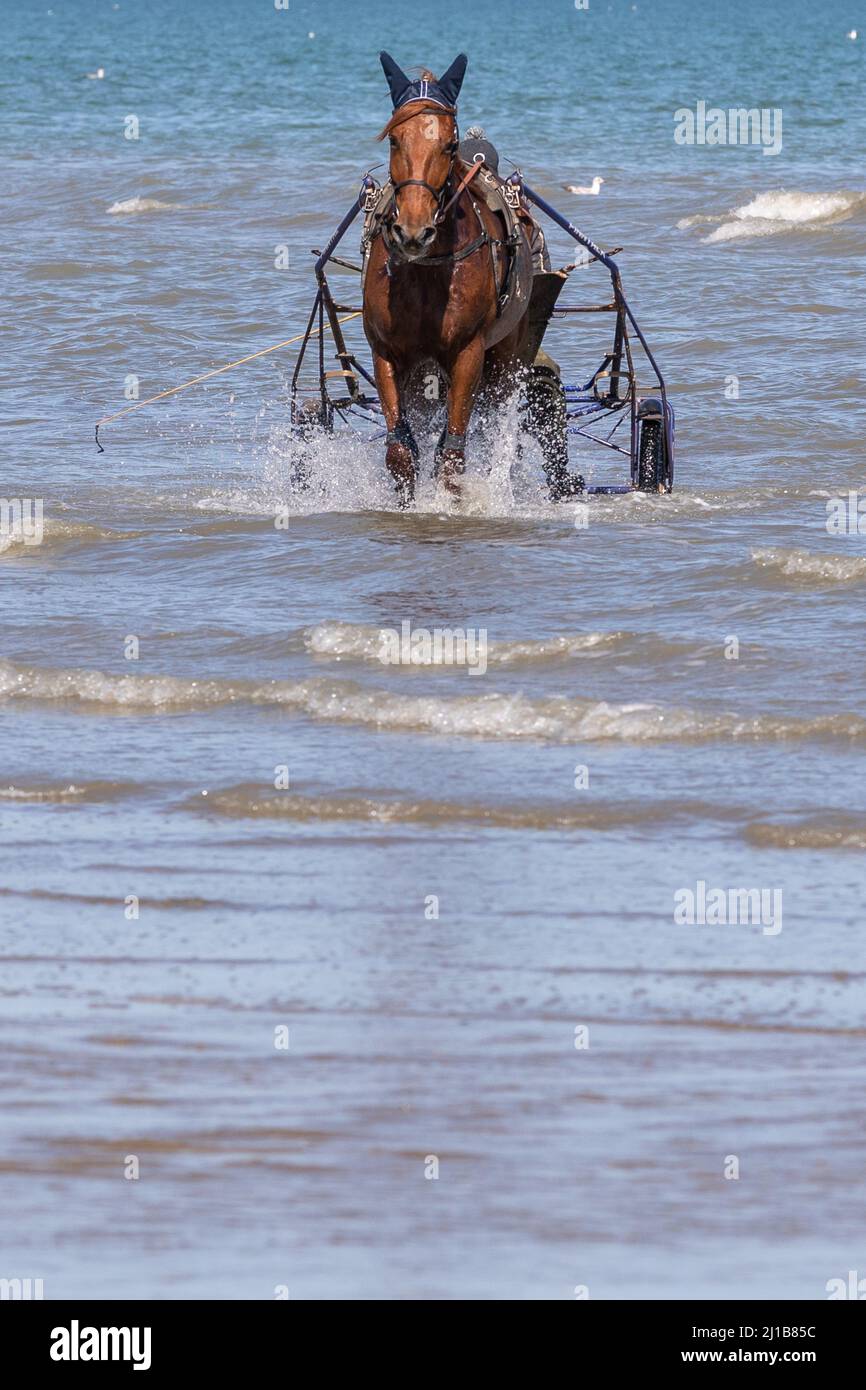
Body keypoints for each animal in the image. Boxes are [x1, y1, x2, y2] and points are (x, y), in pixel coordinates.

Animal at [362, 52, 536, 507]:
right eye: (394, 140)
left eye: (450, 144)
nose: (413, 231)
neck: (427, 271)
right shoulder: (387, 353)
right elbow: (401, 451)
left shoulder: (468, 353)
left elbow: (453, 454)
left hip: (505, 356)